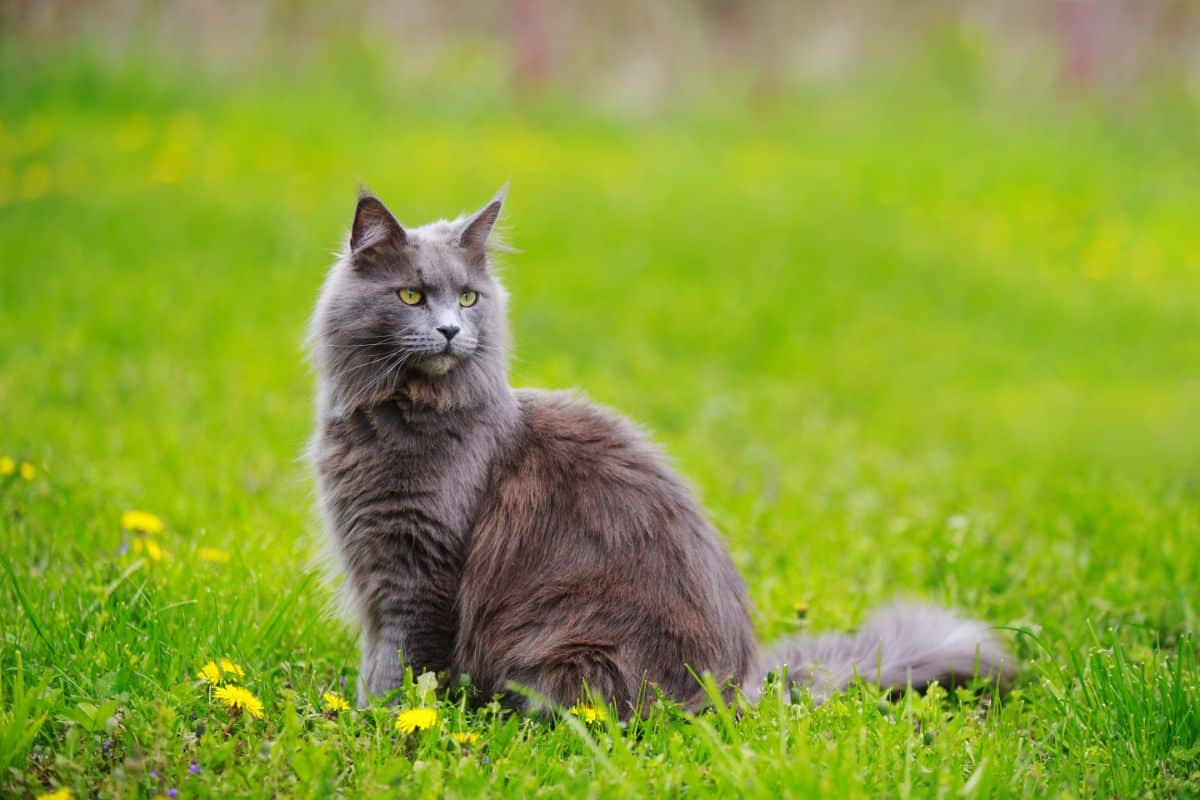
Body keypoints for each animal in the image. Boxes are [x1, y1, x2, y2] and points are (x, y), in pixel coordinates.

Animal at [304, 189, 1008, 714]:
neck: (400, 416)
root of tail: (741, 690)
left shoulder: (419, 571)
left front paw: (379, 721)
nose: (451, 330)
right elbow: (381, 660)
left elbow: (402, 668)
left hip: (567, 650)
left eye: (469, 298)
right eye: (412, 296)